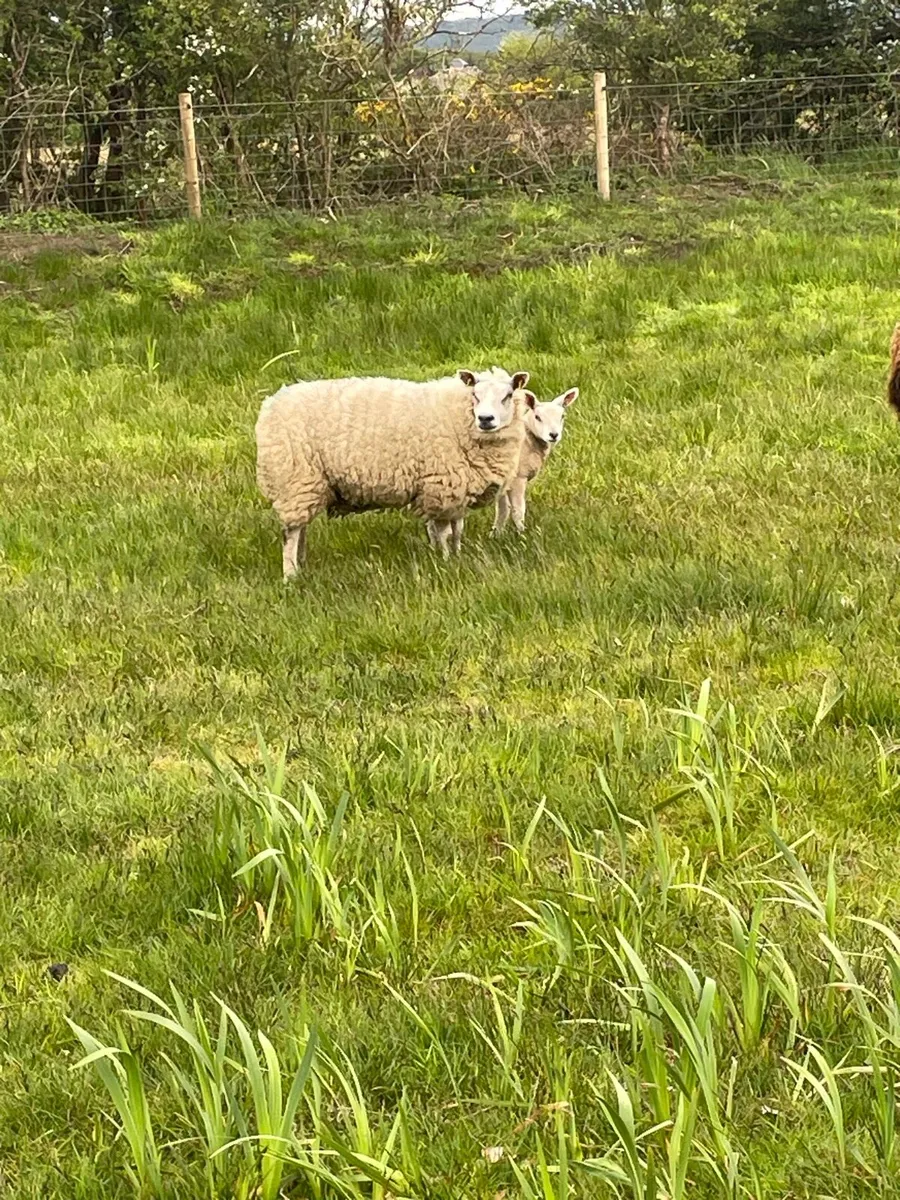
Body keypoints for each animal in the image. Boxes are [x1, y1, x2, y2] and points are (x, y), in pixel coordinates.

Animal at [255, 366, 534, 577]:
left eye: (508, 395)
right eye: (475, 394)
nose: (485, 419)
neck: (459, 417)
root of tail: (270, 406)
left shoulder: (456, 490)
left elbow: (457, 529)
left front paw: (456, 555)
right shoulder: (441, 487)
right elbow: (444, 532)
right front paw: (445, 561)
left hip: (306, 486)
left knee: (300, 528)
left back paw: (302, 565)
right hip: (295, 480)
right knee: (290, 534)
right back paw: (291, 575)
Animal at [492, 386, 578, 536]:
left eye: (562, 416)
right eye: (538, 417)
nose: (553, 435)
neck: (527, 438)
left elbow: (503, 511)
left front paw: (496, 535)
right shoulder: (518, 478)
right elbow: (518, 511)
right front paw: (522, 535)